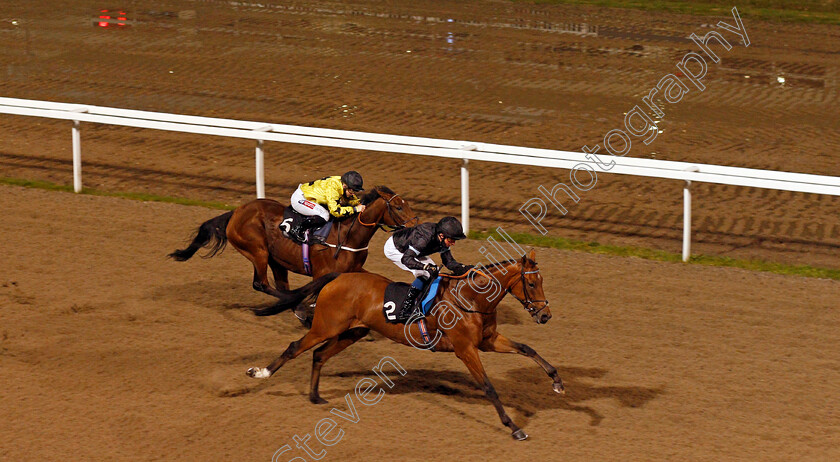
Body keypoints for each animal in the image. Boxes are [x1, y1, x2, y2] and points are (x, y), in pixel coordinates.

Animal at [169, 186, 418, 298]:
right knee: (261, 284)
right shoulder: (322, 274)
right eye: (398, 207)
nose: (416, 224)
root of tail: (236, 212)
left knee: (275, 283)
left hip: (275, 259)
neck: (348, 236)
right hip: (257, 250)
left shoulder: (354, 269)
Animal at [246, 249, 568, 440]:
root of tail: (338, 276)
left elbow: (528, 349)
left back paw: (315, 396)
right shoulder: (466, 349)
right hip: (326, 325)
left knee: (319, 355)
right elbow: (488, 386)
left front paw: (557, 382)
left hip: (352, 331)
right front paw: (514, 427)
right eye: (531, 284)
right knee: (295, 347)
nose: (545, 315)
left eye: (541, 282)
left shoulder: (487, 341)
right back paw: (260, 373)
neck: (472, 300)